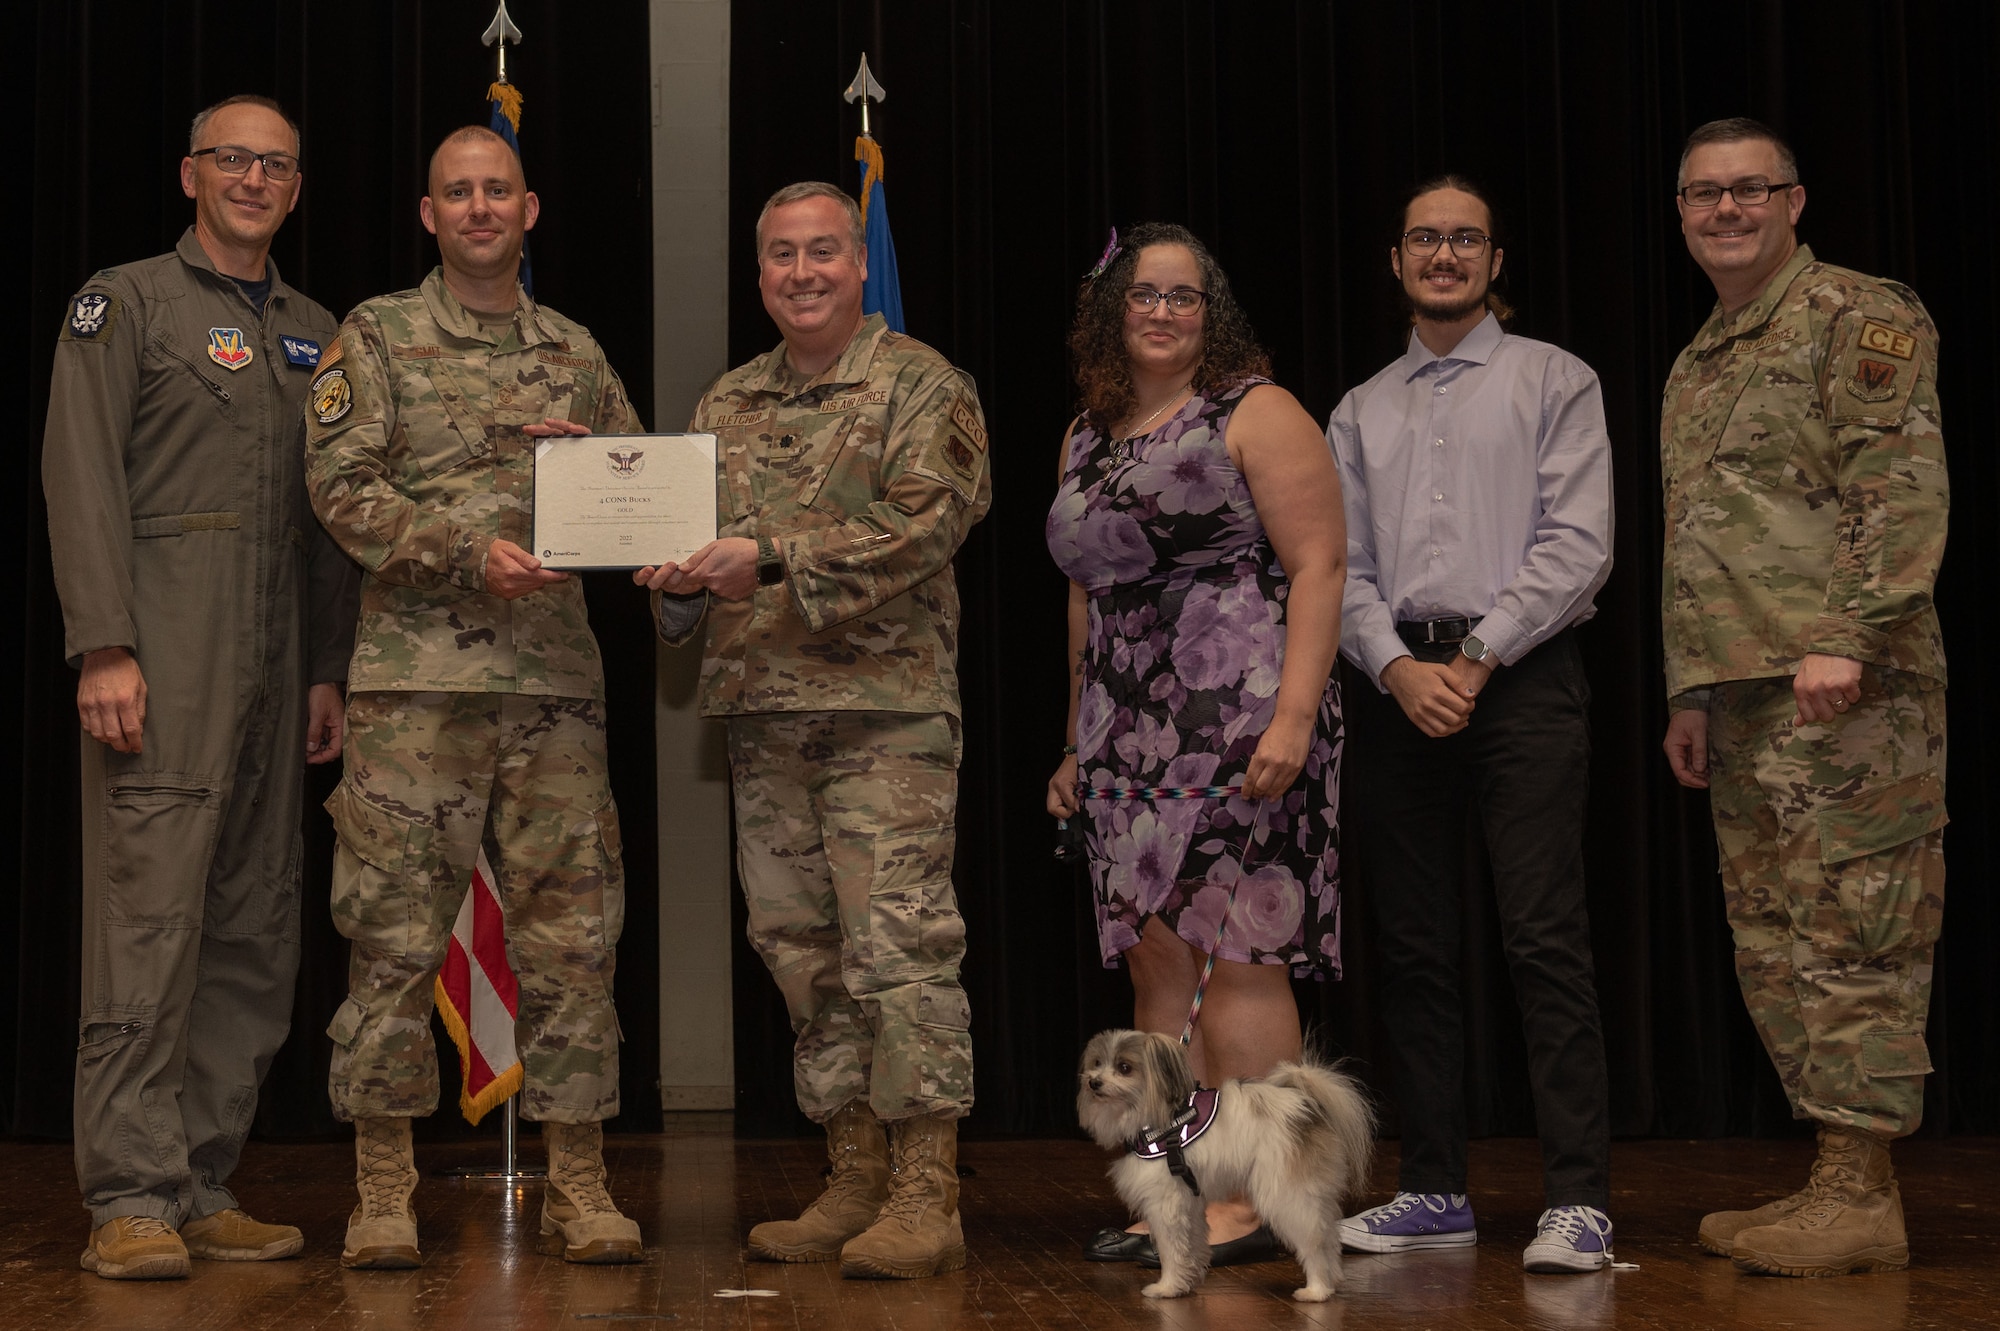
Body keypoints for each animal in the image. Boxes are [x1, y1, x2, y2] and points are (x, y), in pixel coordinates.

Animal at [1080, 1023, 1376, 1295]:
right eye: (1097, 1063)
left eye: (1124, 1068)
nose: (1093, 1082)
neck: (1161, 1119)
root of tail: (1306, 1105)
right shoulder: (1189, 1202)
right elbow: (1192, 1243)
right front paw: (1188, 1281)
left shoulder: (1164, 1203)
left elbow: (1171, 1250)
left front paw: (1167, 1287)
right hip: (1313, 1195)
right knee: (1329, 1236)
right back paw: (1333, 1279)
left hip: (1286, 1196)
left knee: (1314, 1243)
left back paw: (1316, 1291)